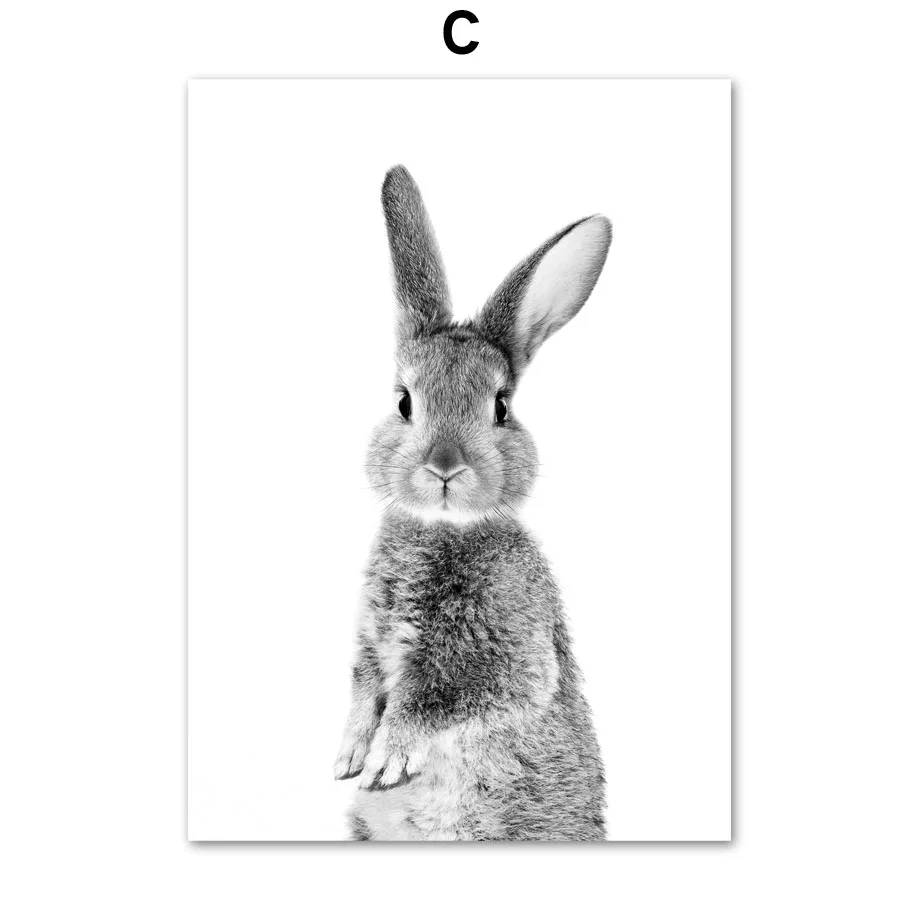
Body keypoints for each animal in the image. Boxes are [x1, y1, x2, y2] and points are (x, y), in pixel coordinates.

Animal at [333, 165, 612, 841]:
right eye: (404, 401)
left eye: (501, 407)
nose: (444, 467)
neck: (440, 528)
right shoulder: (368, 645)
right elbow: (363, 689)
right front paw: (351, 754)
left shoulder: (501, 653)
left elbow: (434, 701)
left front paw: (385, 758)